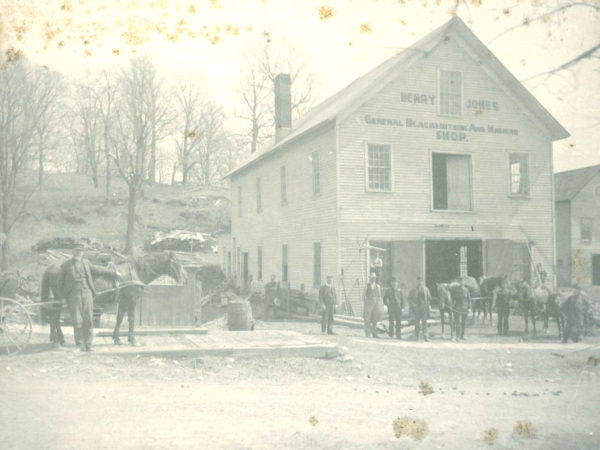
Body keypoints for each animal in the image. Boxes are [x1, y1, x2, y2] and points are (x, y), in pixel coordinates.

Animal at [40, 253, 185, 344]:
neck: (135, 272)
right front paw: (132, 339)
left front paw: (117, 338)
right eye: (177, 263)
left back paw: (56, 338)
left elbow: (119, 318)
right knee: (54, 317)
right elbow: (131, 319)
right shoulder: (132, 300)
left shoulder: (123, 301)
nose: (185, 278)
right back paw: (59, 339)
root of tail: (51, 267)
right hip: (59, 300)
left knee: (53, 317)